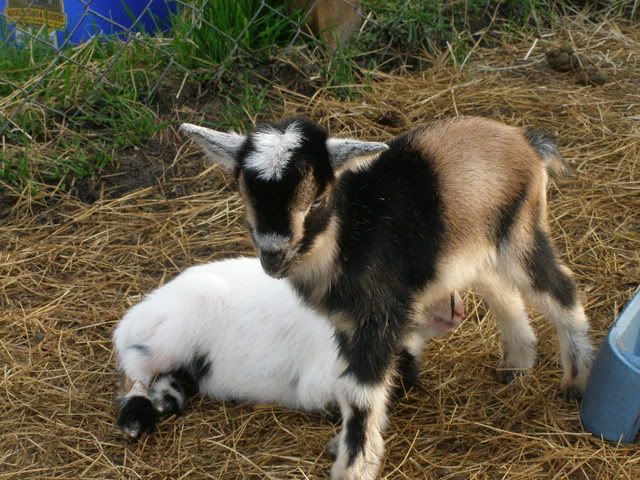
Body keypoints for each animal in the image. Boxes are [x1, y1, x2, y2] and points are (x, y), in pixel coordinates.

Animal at [113, 256, 463, 439]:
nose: (457, 308)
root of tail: (136, 316)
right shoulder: (321, 381)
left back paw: (166, 398)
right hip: (176, 333)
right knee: (135, 365)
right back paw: (136, 418)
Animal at [179, 116, 594, 480]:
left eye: (317, 200)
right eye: (246, 195)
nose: (273, 256)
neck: (349, 235)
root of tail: (525, 140)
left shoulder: (377, 318)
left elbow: (358, 394)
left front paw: (352, 467)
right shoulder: (347, 326)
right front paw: (349, 445)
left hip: (519, 230)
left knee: (559, 288)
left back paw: (577, 380)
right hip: (477, 247)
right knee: (500, 288)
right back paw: (517, 362)